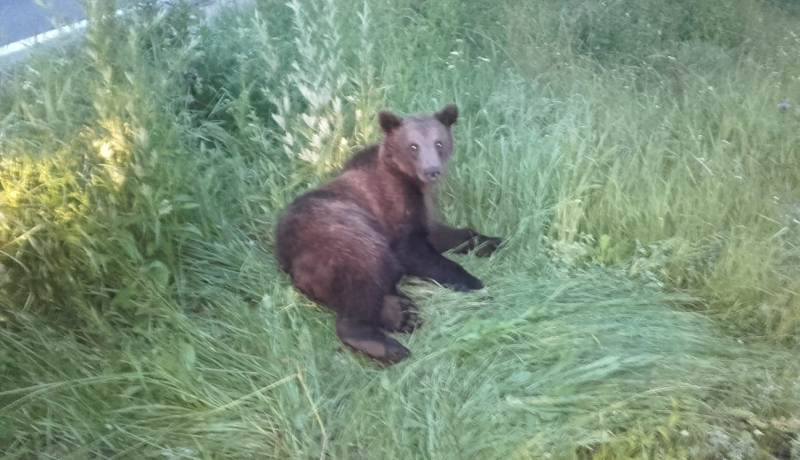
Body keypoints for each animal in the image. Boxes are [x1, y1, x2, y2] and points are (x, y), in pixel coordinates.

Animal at [275, 104, 502, 364]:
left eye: (439, 142)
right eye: (413, 146)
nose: (432, 171)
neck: (411, 182)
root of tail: (285, 256)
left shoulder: (422, 211)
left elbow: (441, 234)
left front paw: (492, 240)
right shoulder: (392, 209)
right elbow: (415, 251)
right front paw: (473, 281)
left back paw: (403, 314)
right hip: (342, 238)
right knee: (366, 277)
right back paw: (389, 346)